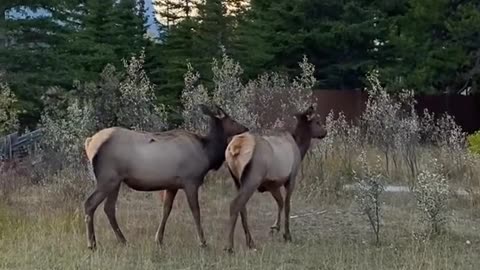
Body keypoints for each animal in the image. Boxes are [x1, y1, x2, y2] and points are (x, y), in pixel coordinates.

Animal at [83, 103, 248, 249]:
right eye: (232, 120)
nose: (245, 128)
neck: (207, 154)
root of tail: (89, 142)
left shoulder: (172, 185)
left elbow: (166, 210)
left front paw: (158, 239)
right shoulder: (190, 181)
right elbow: (196, 211)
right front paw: (203, 242)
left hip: (116, 180)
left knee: (109, 208)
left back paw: (123, 240)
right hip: (107, 178)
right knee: (90, 203)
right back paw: (92, 244)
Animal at [224, 104, 326, 252]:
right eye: (317, 122)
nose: (325, 132)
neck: (300, 149)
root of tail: (235, 148)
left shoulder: (272, 184)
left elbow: (280, 202)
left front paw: (275, 227)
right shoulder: (291, 177)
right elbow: (288, 205)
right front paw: (287, 235)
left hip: (236, 180)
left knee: (242, 208)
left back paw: (250, 242)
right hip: (253, 177)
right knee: (235, 204)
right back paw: (230, 247)